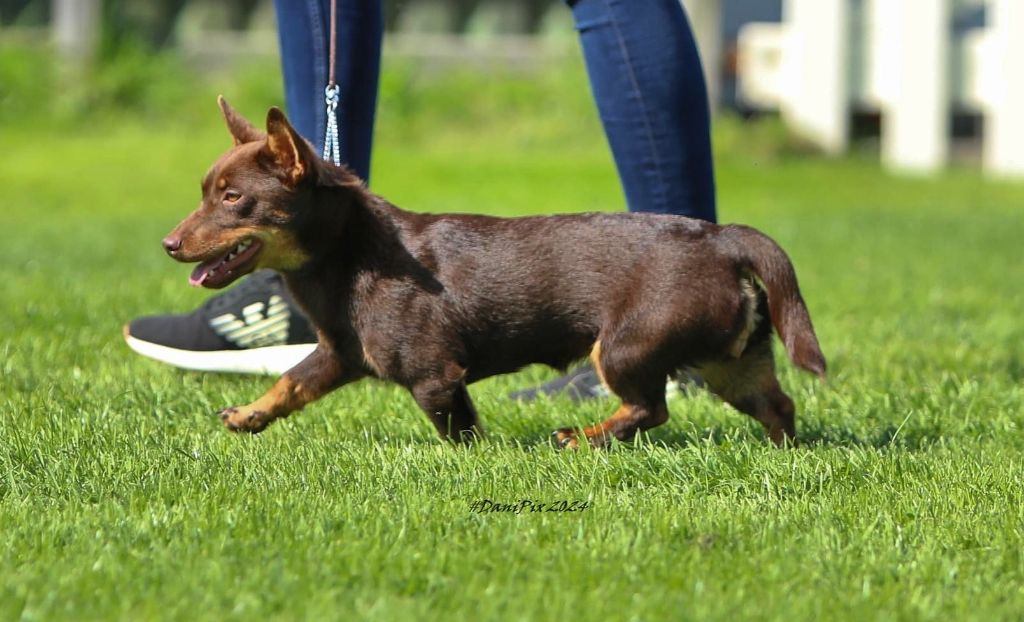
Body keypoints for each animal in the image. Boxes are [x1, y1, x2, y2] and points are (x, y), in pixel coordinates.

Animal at [163, 98, 827, 446]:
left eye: (232, 199)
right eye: (203, 192)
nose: (169, 243)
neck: (349, 255)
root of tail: (722, 238)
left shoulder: (434, 376)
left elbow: (459, 431)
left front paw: (479, 462)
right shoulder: (340, 354)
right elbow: (291, 382)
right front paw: (248, 416)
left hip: (623, 349)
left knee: (650, 409)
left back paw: (581, 437)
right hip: (730, 362)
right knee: (778, 404)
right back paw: (780, 451)